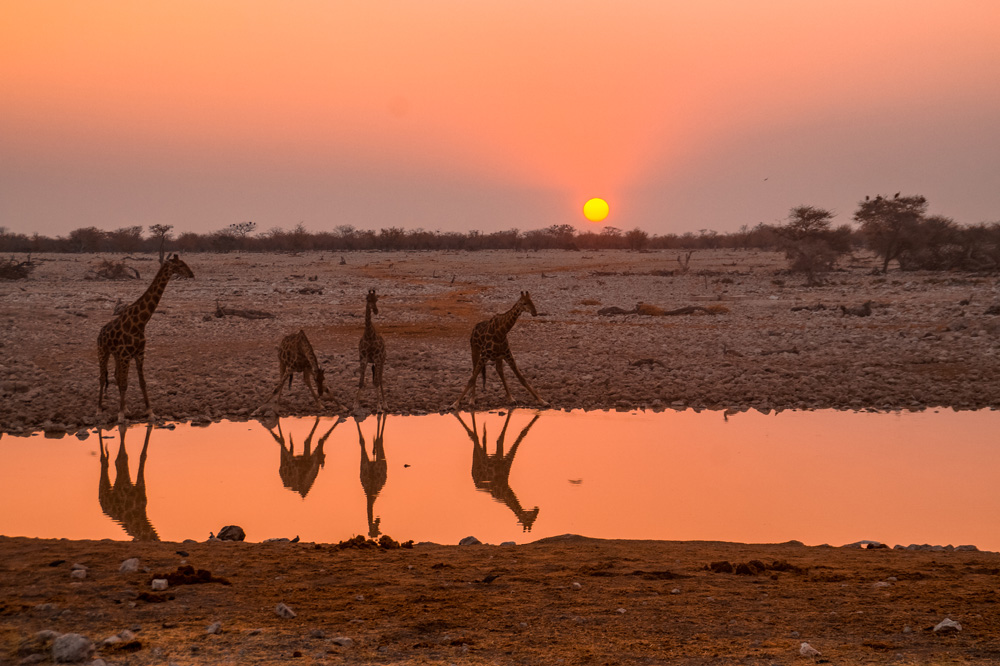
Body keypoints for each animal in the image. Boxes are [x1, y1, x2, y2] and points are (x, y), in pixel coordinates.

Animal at [97, 253, 193, 420]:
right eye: (180, 265)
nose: (192, 274)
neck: (140, 323)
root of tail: (99, 333)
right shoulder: (126, 354)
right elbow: (124, 383)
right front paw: (120, 415)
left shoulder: (139, 353)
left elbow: (141, 382)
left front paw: (149, 411)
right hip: (103, 352)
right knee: (103, 378)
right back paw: (99, 408)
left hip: (116, 355)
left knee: (116, 375)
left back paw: (126, 408)